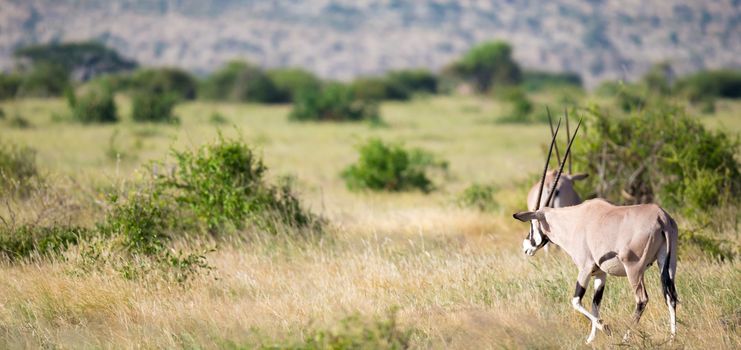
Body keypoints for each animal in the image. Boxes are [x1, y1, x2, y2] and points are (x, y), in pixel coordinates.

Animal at [516, 119, 676, 344]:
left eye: (532, 223)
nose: (526, 247)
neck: (574, 221)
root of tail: (661, 217)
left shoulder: (585, 268)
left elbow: (576, 301)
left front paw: (605, 328)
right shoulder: (600, 273)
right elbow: (595, 304)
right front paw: (591, 339)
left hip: (634, 269)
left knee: (642, 299)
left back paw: (625, 338)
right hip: (668, 263)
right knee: (670, 296)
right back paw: (672, 338)